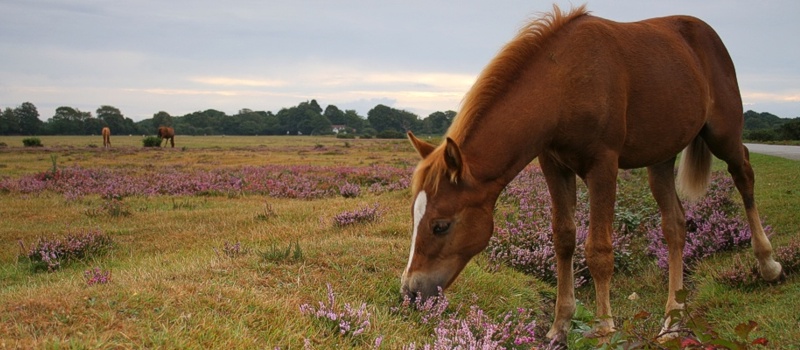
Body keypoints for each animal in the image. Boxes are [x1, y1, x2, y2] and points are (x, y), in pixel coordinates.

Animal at [400, 4, 780, 344]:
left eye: (440, 225)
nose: (410, 292)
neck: (565, 82)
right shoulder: (554, 165)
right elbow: (564, 239)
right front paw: (560, 325)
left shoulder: (603, 166)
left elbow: (598, 249)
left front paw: (603, 328)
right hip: (660, 158)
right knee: (675, 226)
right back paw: (672, 321)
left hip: (723, 135)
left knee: (744, 175)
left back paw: (767, 264)